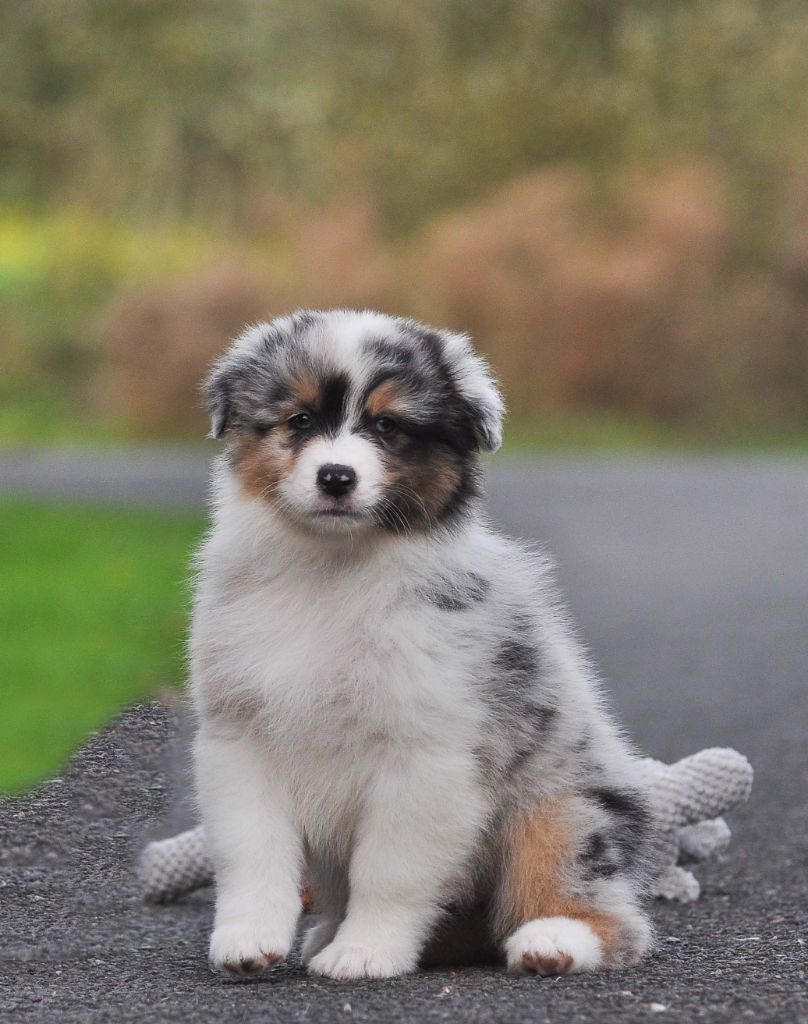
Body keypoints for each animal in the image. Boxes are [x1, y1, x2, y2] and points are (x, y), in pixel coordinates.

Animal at [190, 309, 654, 981]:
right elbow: (252, 851)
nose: (337, 477)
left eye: (388, 426)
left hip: (560, 807)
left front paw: (366, 952)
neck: (333, 569)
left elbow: (389, 870)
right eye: (299, 419)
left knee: (592, 900)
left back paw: (553, 941)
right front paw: (249, 939)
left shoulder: (425, 754)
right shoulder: (240, 736)